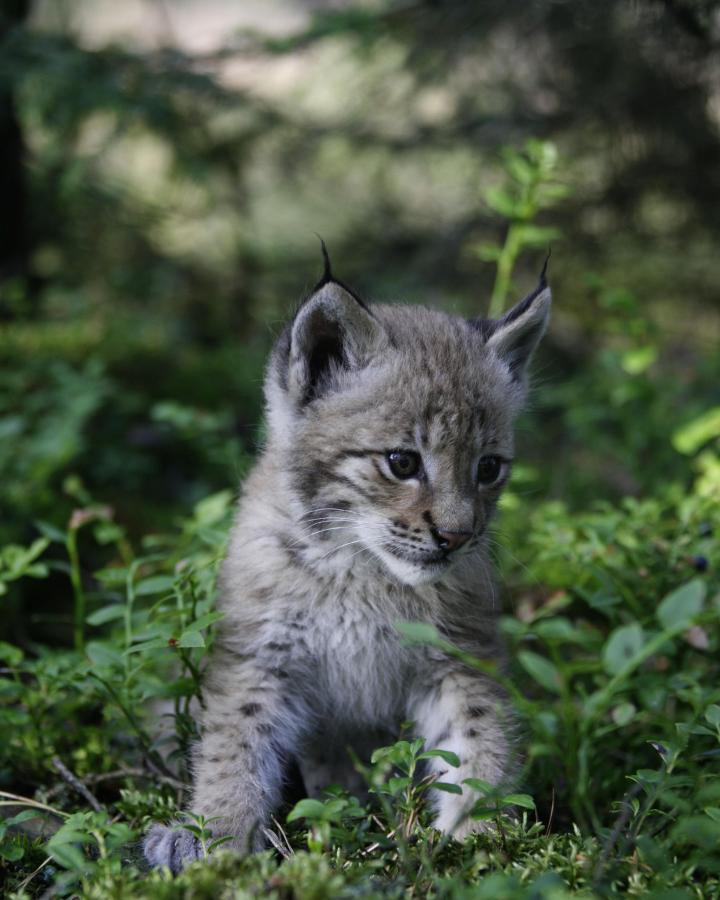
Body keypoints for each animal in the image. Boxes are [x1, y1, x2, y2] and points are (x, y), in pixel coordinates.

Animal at [145, 253, 552, 872]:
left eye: (488, 468)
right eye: (402, 462)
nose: (457, 537)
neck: (360, 569)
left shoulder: (459, 654)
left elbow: (480, 740)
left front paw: (482, 838)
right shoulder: (259, 655)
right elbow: (234, 744)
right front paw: (215, 836)